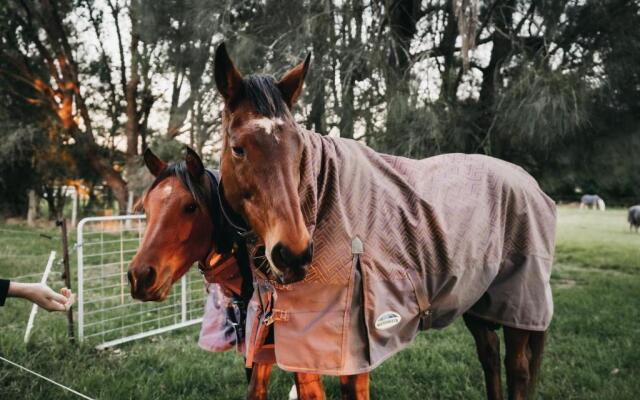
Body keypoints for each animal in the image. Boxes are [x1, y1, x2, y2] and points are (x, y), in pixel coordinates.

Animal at [212, 42, 556, 398]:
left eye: (298, 146)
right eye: (238, 148)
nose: (293, 253)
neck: (322, 200)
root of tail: (527, 180)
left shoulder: (352, 358)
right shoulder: (276, 345)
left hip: (519, 306)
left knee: (517, 368)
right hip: (478, 299)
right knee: (489, 354)